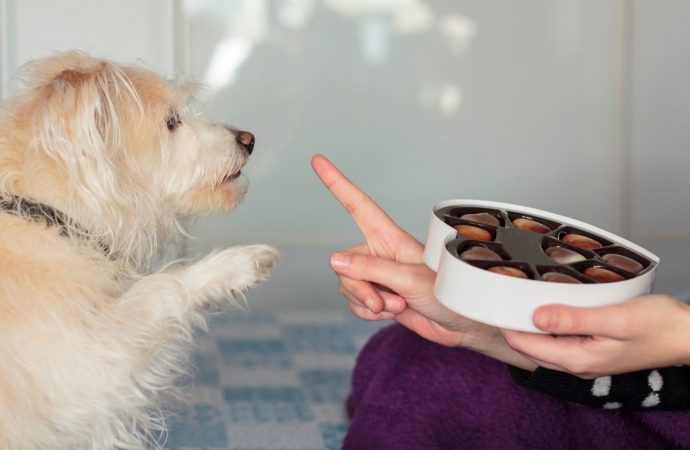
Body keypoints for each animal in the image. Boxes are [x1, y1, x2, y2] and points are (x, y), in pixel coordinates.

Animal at [0, 51, 280, 448]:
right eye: (171, 122)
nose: (249, 139)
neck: (47, 214)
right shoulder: (86, 364)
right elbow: (159, 288)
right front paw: (235, 264)